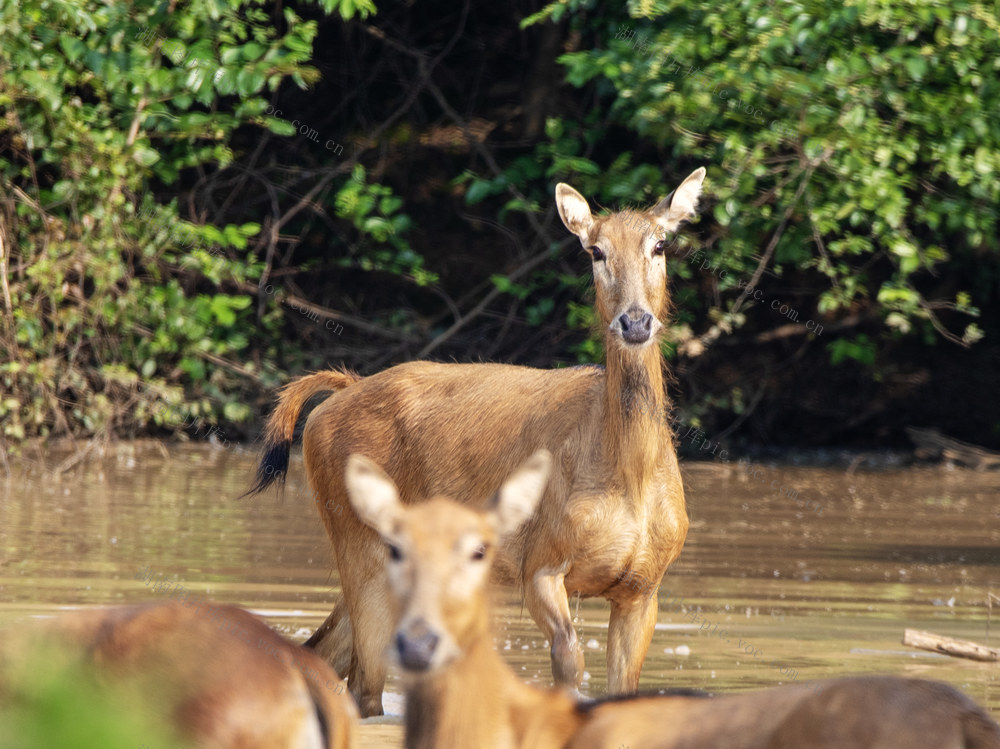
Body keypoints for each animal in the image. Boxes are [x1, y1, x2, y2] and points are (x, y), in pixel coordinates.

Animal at [247, 167, 706, 716]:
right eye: (595, 250)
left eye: (660, 244)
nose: (635, 321)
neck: (629, 474)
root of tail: (333, 398)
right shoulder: (540, 560)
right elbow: (568, 659)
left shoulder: (644, 588)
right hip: (358, 539)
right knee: (363, 685)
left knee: (322, 653)